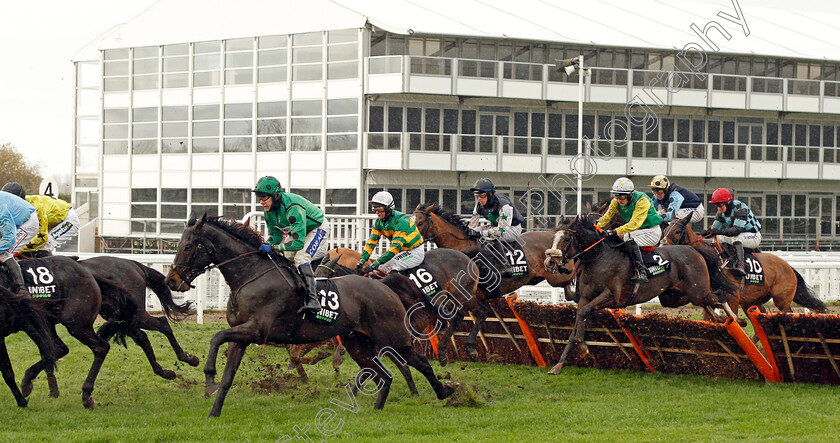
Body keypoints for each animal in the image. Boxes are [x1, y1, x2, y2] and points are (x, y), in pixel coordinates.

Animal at [163, 213, 452, 418]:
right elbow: (227, 374)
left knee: (419, 363)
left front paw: (208, 376)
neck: (252, 276)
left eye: (189, 245)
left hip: (393, 337)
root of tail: (383, 285)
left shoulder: (257, 329)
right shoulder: (242, 336)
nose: (171, 280)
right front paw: (214, 408)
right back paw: (376, 409)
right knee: (382, 374)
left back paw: (444, 392)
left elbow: (215, 337)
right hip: (357, 342)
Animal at [316, 248, 486, 366]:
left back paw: (465, 350)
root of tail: (466, 257)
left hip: (463, 295)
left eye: (324, 278)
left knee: (476, 313)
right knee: (466, 315)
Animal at [544, 215, 736, 374]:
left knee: (719, 296)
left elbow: (583, 314)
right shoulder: (585, 298)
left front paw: (582, 346)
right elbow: (578, 320)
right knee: (706, 302)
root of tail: (693, 249)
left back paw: (735, 320)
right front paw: (559, 364)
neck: (600, 258)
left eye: (566, 238)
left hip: (698, 291)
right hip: (674, 296)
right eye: (553, 238)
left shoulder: (612, 296)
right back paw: (719, 319)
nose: (549, 262)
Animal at [664, 214, 828, 316]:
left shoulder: (733, 298)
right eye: (665, 230)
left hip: (782, 300)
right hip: (753, 301)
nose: (663, 247)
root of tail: (789, 267)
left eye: (677, 231)